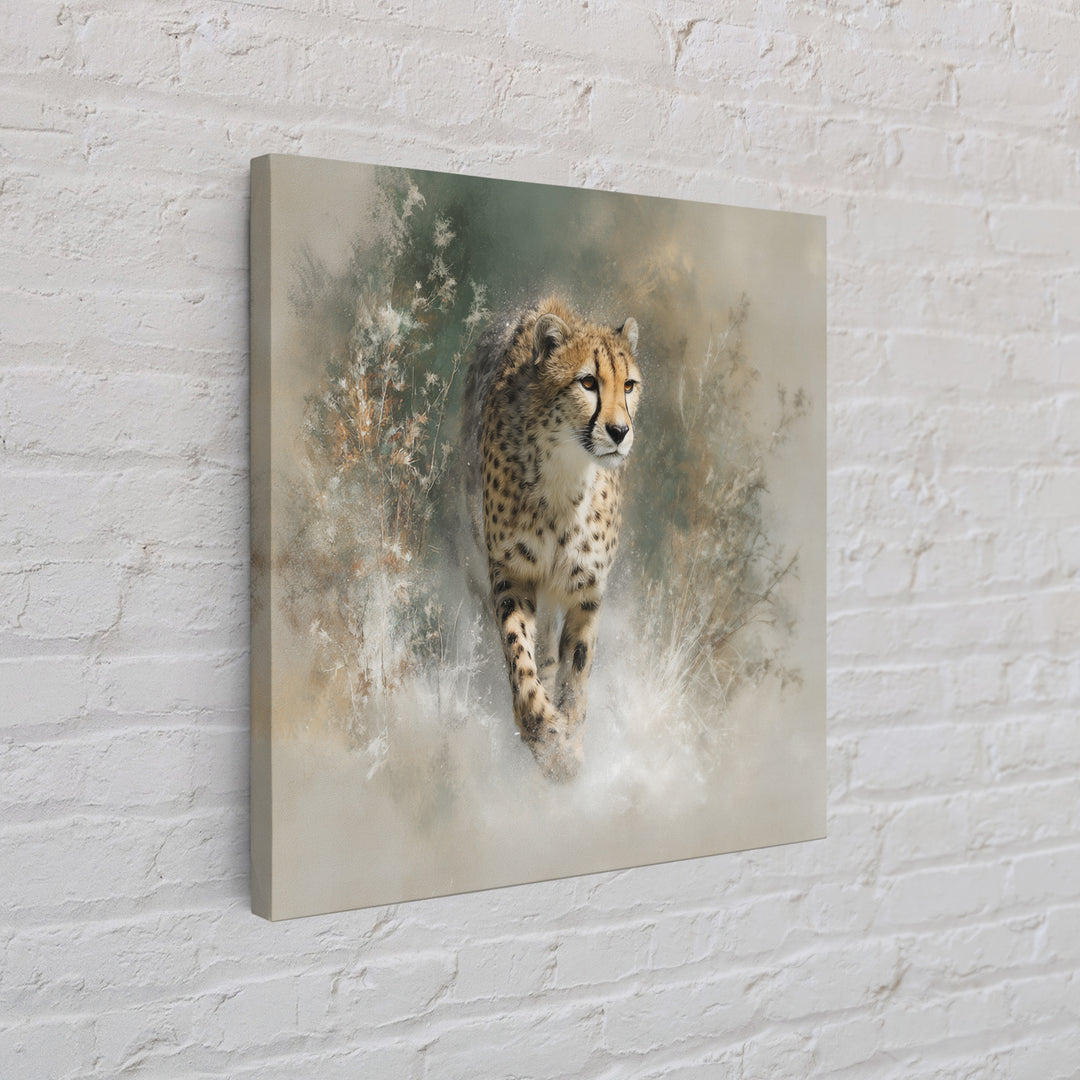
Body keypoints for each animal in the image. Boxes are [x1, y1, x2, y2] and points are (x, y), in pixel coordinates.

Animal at [463, 297, 643, 781]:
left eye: (630, 385)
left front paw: (570, 744)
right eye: (588, 382)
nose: (619, 432)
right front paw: (542, 730)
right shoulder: (511, 571)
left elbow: (576, 670)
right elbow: (519, 653)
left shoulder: (588, 589)